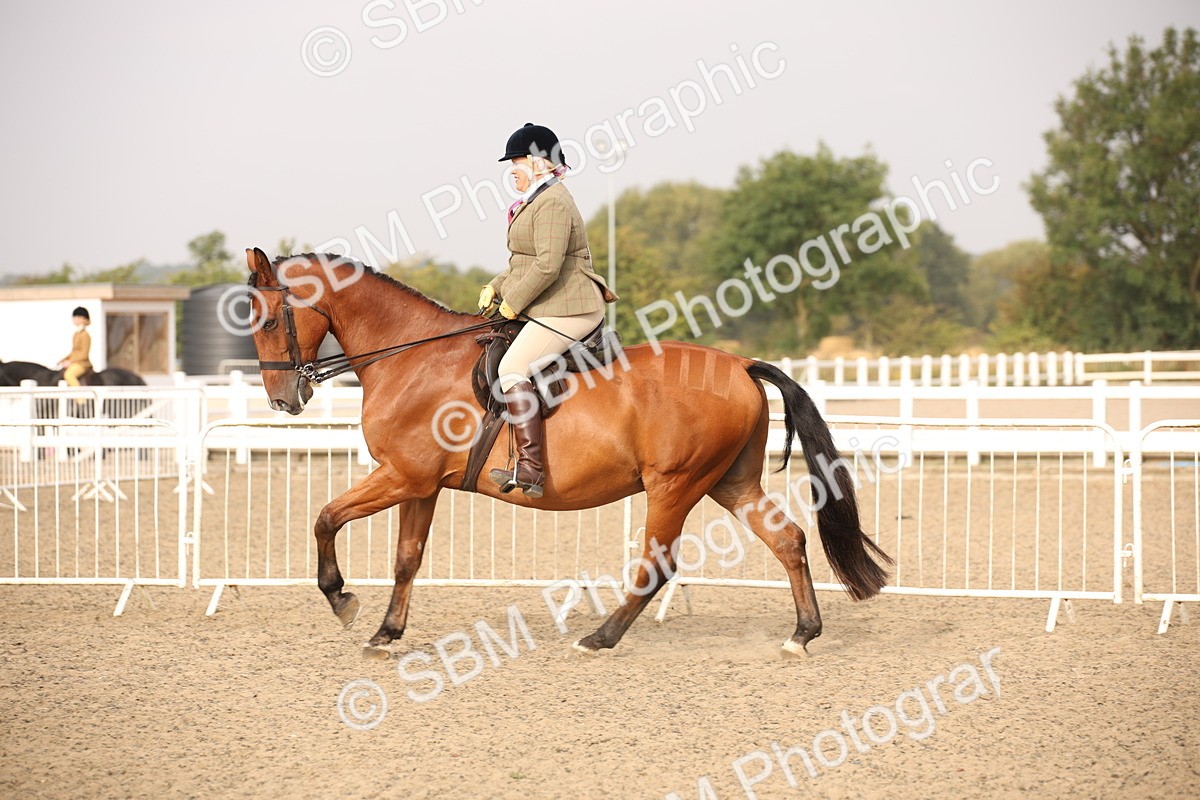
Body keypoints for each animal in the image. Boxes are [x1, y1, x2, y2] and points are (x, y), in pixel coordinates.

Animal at [243, 247, 892, 657]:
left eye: (271, 320)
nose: (282, 400)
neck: (410, 356)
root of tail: (740, 364)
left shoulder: (401, 475)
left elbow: (326, 518)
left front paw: (341, 599)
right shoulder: (419, 485)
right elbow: (406, 559)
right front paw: (385, 633)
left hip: (675, 485)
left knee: (656, 565)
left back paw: (599, 639)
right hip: (730, 482)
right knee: (788, 540)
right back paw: (802, 634)